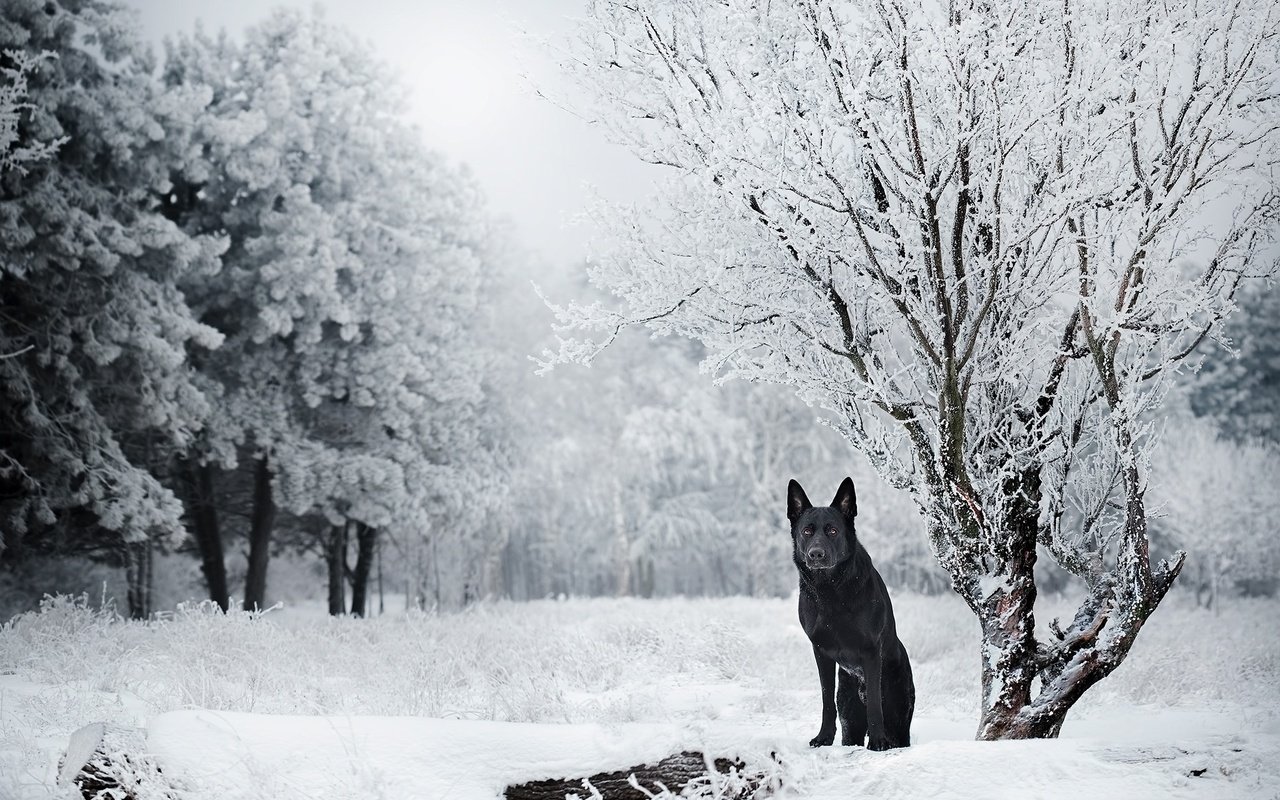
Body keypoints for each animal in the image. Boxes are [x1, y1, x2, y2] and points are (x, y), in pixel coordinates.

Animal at [783, 481, 916, 747]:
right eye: (807, 531)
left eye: (833, 531)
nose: (816, 554)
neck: (830, 589)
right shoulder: (821, 651)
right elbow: (826, 701)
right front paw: (824, 737)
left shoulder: (871, 650)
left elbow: (875, 703)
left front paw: (877, 742)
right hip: (850, 721)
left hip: (899, 721)